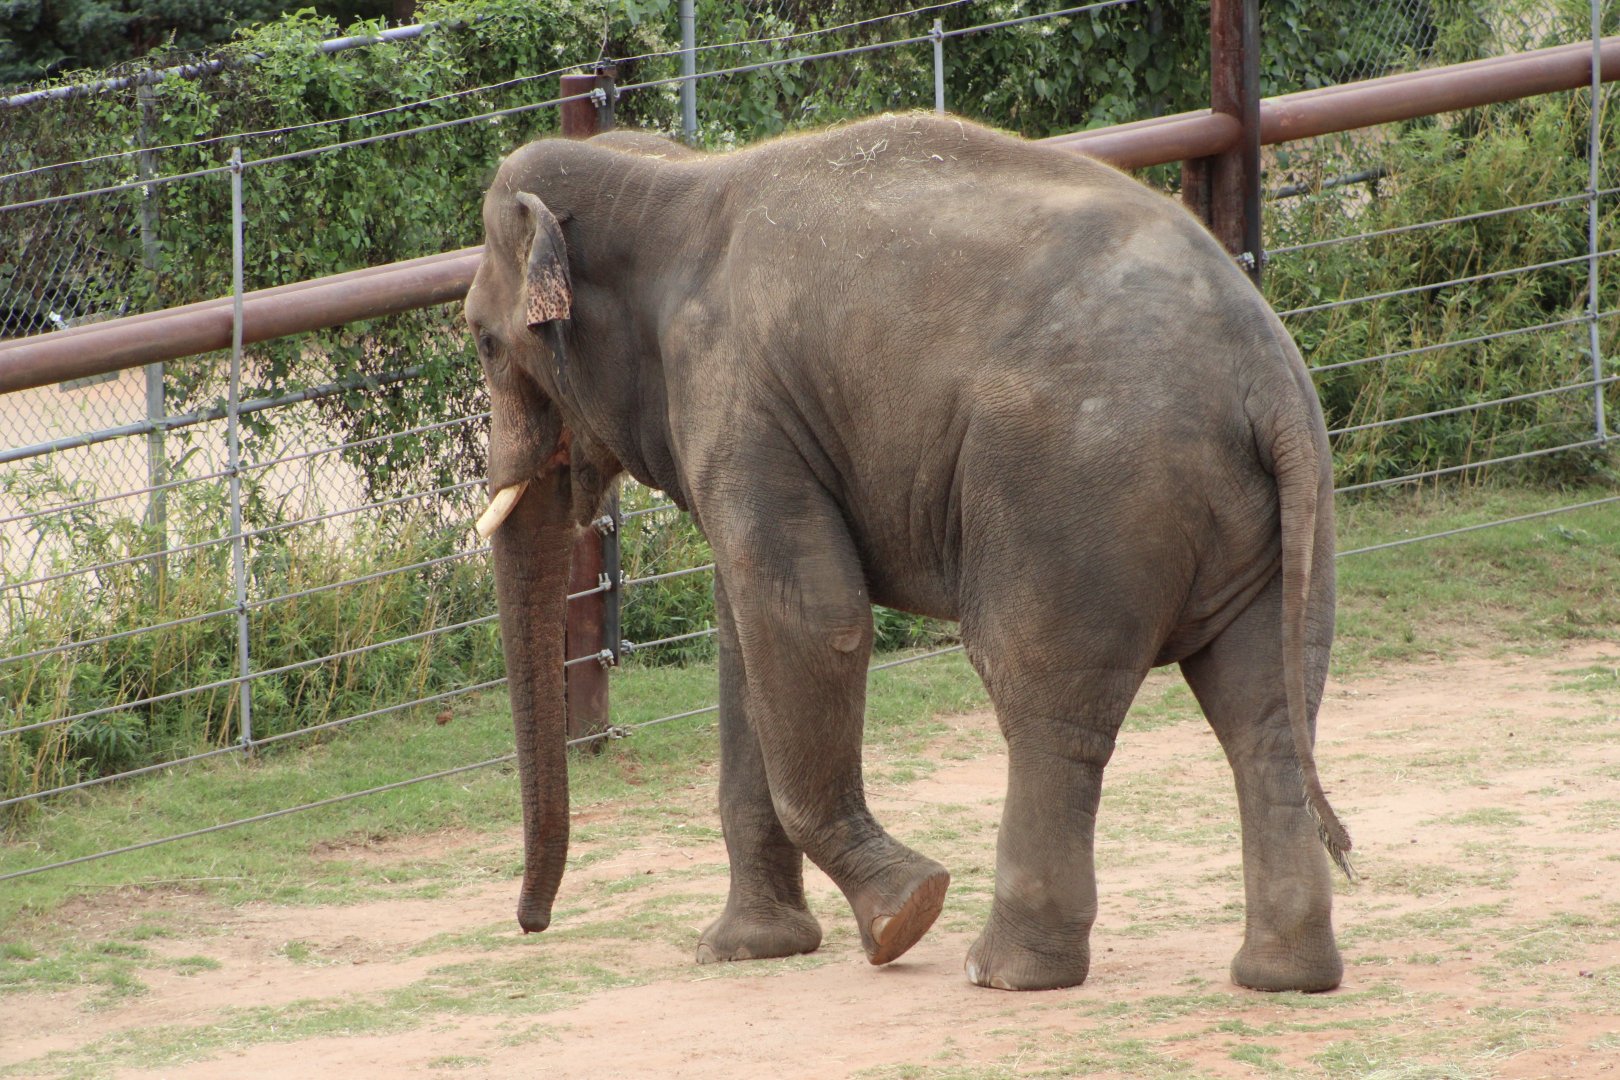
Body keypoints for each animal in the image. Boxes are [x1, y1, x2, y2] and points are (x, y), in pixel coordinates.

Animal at [463, 113, 1352, 993]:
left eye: (482, 342)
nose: (531, 925)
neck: (670, 180)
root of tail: (1263, 367)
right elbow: (747, 637)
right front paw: (746, 948)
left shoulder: (737, 397)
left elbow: (809, 619)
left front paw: (902, 917)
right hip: (1275, 514)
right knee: (1263, 710)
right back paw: (1282, 976)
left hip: (1078, 489)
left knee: (1042, 695)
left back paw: (1002, 972)